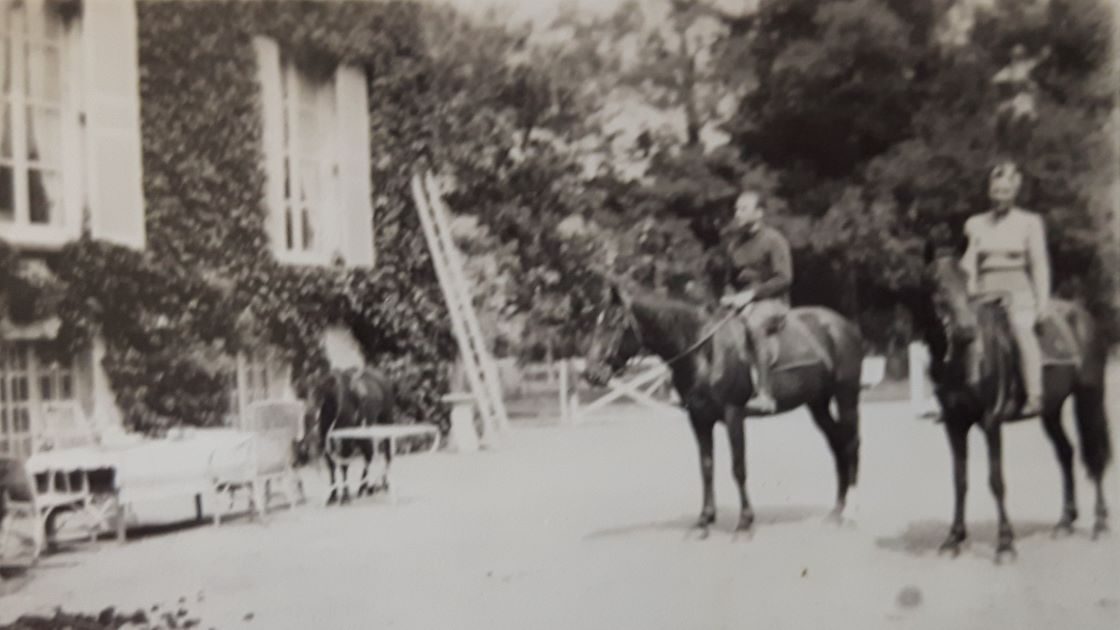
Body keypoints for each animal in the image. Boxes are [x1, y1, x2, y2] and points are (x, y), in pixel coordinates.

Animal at [304, 365, 396, 502]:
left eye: (321, 390)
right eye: (307, 391)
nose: (309, 414)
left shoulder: (346, 439)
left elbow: (344, 465)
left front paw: (345, 496)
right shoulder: (325, 438)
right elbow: (331, 465)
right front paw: (332, 496)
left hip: (386, 422)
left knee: (387, 453)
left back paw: (383, 484)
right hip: (363, 433)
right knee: (368, 454)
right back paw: (364, 488)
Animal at [582, 279, 860, 533]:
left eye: (613, 323)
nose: (591, 374)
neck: (704, 350)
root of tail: (843, 325)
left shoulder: (733, 414)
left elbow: (738, 467)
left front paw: (744, 522)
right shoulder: (699, 418)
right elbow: (706, 467)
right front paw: (704, 519)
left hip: (846, 396)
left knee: (850, 442)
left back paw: (849, 510)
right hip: (818, 403)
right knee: (837, 444)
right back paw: (836, 511)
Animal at [909, 247, 1111, 556]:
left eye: (965, 279)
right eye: (935, 282)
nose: (966, 332)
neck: (964, 361)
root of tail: (1081, 315)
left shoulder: (991, 422)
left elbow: (996, 480)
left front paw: (1005, 544)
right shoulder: (954, 424)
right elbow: (960, 480)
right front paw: (953, 538)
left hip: (1089, 397)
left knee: (1095, 455)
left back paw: (1099, 524)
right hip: (1051, 410)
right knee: (1066, 453)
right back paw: (1065, 521)